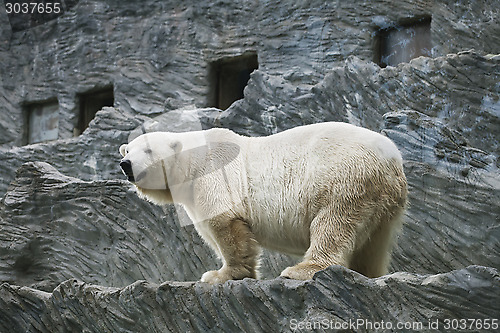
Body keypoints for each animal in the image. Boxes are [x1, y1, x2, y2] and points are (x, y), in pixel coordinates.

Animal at [120, 122, 406, 282]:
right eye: (127, 149)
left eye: (148, 150)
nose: (125, 164)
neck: (191, 163)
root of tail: (392, 158)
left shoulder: (214, 171)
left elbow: (224, 223)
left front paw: (220, 275)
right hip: (382, 200)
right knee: (373, 243)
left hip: (342, 176)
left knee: (332, 224)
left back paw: (302, 269)